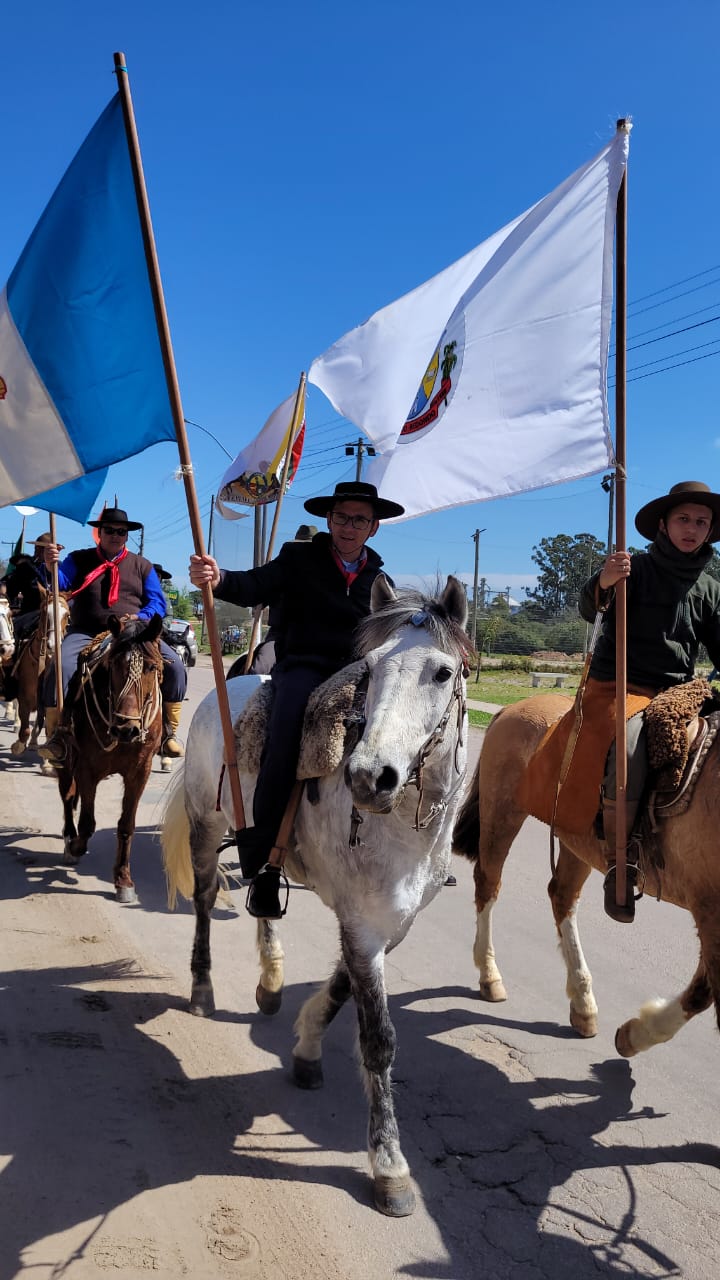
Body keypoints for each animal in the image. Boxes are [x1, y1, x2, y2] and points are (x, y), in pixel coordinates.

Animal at [8, 586, 70, 752]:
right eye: (44, 612)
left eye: (67, 615)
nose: (53, 645)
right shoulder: (24, 697)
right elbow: (25, 728)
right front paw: (18, 745)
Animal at [56, 614, 163, 906]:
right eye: (114, 664)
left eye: (151, 667)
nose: (127, 729)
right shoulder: (87, 767)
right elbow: (87, 822)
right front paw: (76, 846)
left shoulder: (140, 772)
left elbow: (126, 825)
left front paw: (123, 880)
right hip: (66, 760)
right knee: (67, 796)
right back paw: (69, 839)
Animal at [159, 576, 468, 1213]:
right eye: (370, 668)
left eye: (442, 672)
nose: (369, 776)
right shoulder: (365, 925)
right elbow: (378, 1038)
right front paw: (389, 1165)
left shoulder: (390, 924)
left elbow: (343, 986)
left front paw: (304, 1048)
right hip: (205, 823)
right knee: (204, 898)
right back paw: (202, 987)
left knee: (263, 886)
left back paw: (271, 981)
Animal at [453, 696, 720, 1054]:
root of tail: (513, 708)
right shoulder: (709, 910)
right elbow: (705, 992)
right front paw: (640, 1033)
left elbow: (702, 989)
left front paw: (637, 1033)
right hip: (502, 813)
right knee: (488, 884)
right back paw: (489, 974)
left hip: (576, 842)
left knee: (562, 895)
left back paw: (582, 1003)